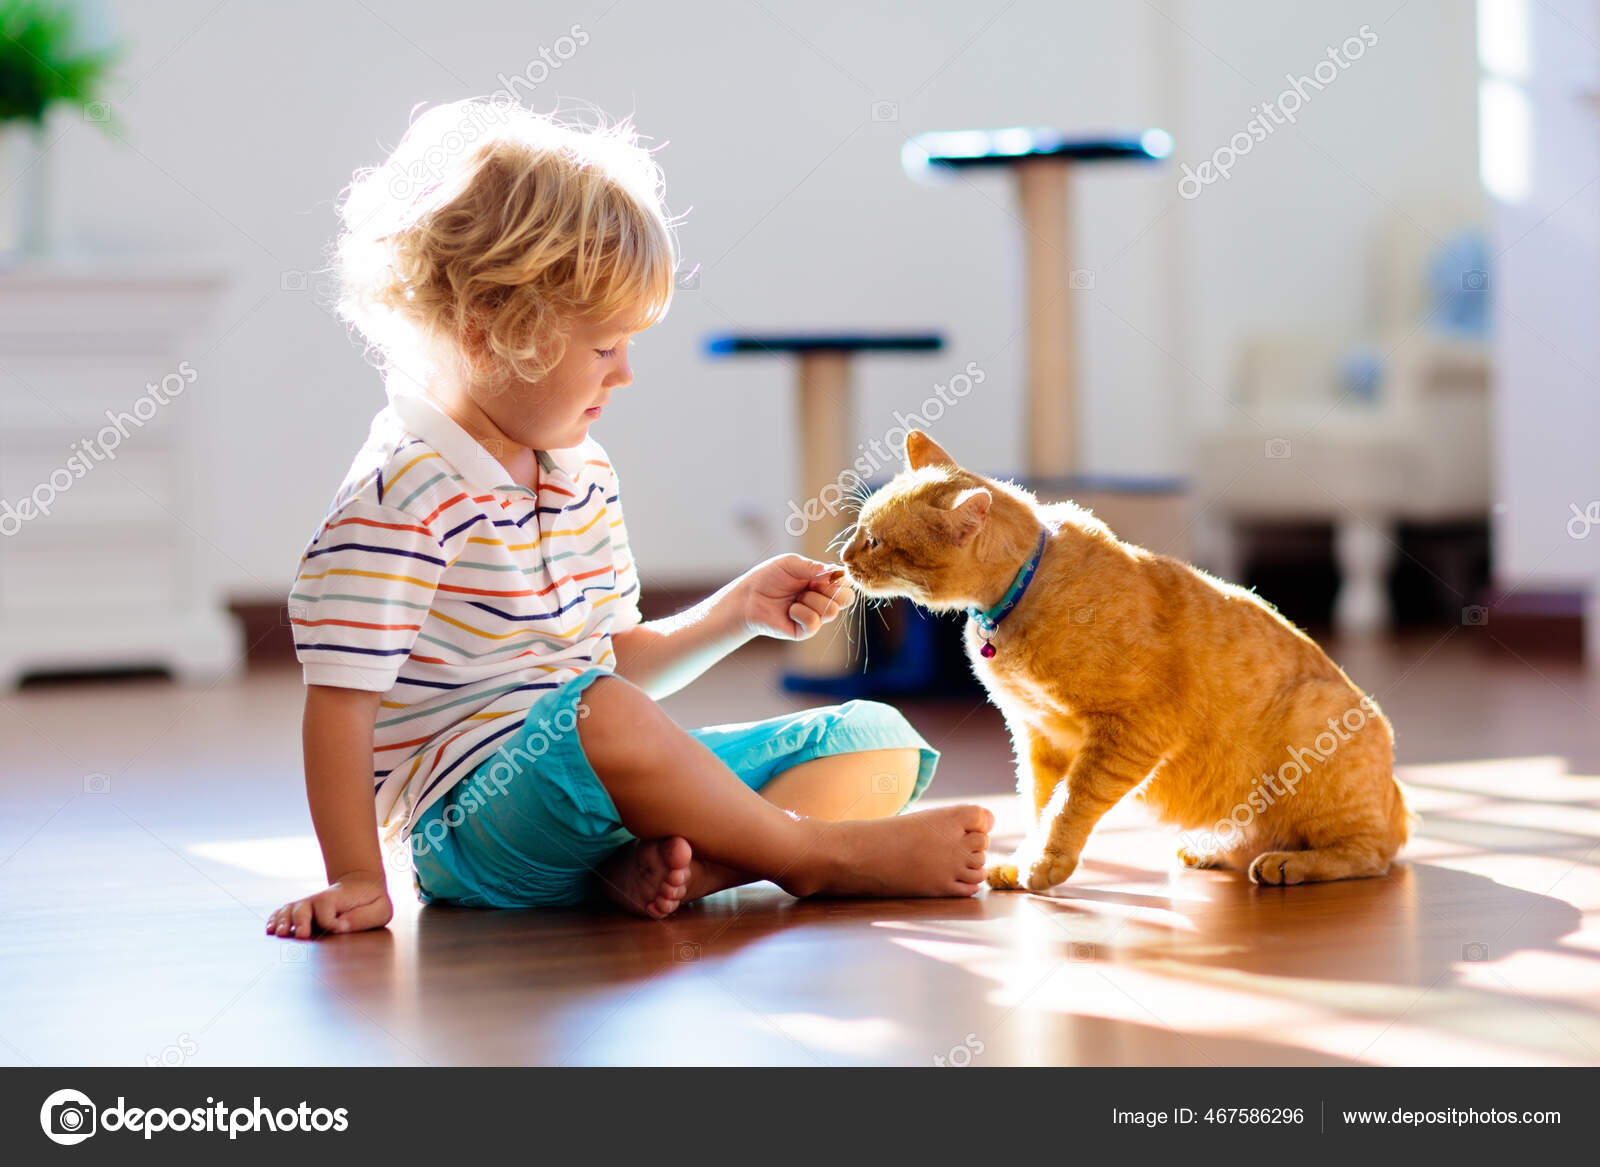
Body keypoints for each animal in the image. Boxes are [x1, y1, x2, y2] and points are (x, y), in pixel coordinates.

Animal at [844, 432, 1408, 890]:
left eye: (874, 539)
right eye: (858, 529)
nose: (844, 560)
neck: (1014, 602)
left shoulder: (1130, 728)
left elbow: (1069, 803)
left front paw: (1044, 865)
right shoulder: (1037, 737)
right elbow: (1039, 804)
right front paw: (1024, 859)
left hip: (1320, 727)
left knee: (1371, 854)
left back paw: (1288, 864)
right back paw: (1211, 849)